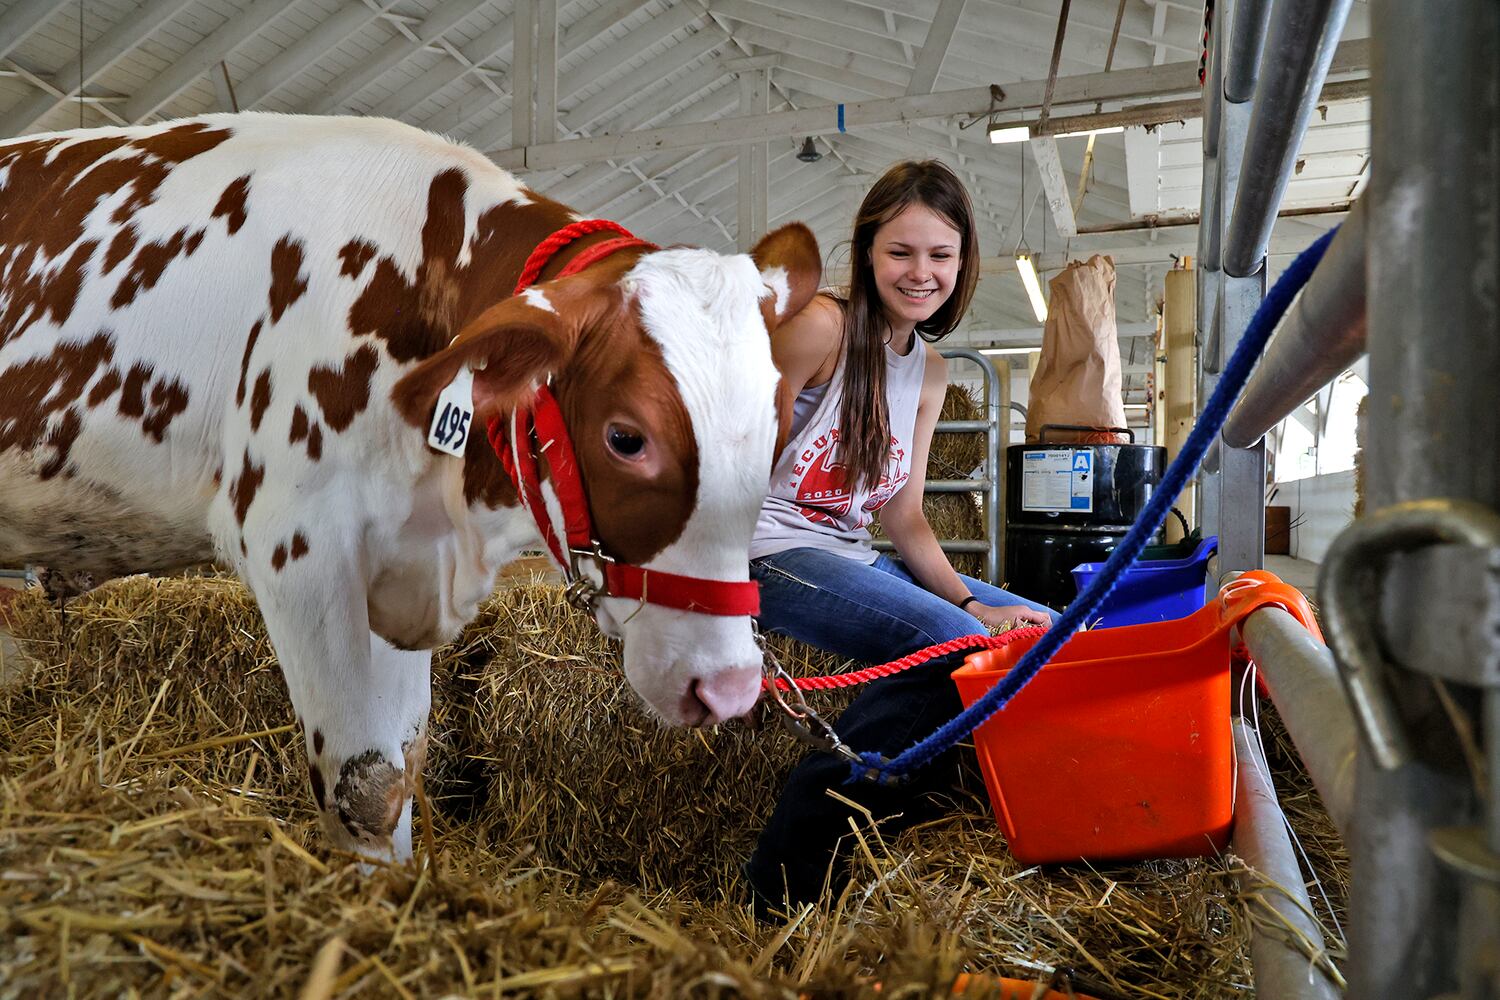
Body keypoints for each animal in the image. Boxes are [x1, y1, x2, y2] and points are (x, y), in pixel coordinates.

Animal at [0, 115, 822, 863]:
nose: (728, 686)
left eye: (778, 424)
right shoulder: (300, 545)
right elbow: (360, 785)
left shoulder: (399, 556)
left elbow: (399, 772)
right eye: (626, 437)